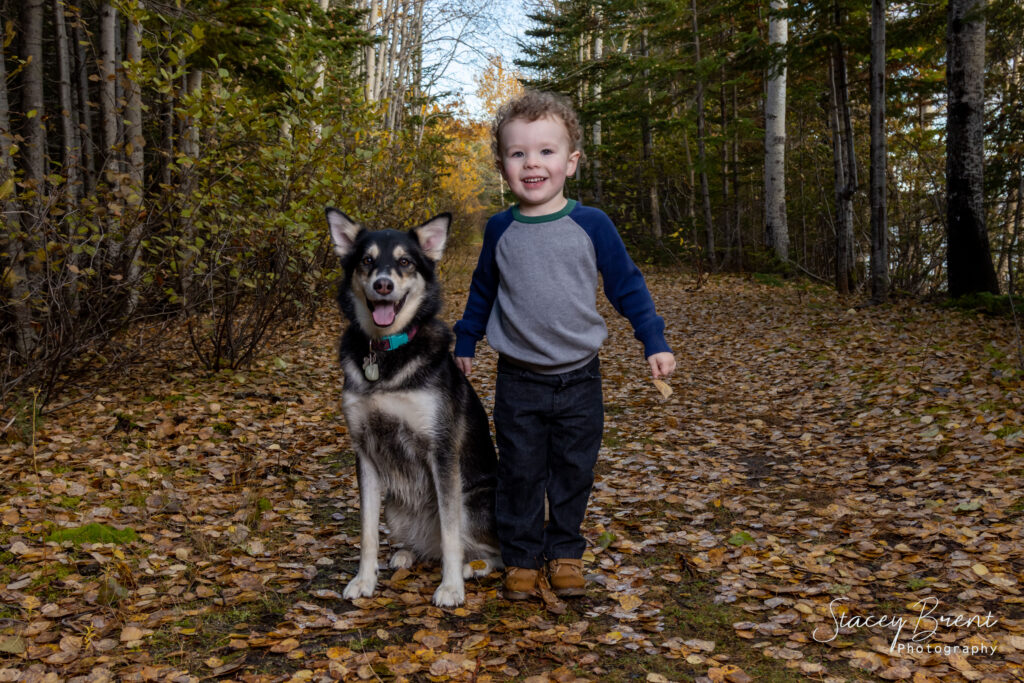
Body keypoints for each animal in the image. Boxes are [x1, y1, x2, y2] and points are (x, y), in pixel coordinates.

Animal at [325, 209, 501, 610]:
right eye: (367, 261)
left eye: (405, 262)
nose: (383, 285)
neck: (387, 351)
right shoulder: (365, 452)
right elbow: (367, 531)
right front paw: (364, 580)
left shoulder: (442, 451)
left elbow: (451, 534)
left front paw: (451, 587)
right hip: (396, 505)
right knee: (426, 546)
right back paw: (407, 554)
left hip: (473, 500)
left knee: (491, 551)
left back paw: (472, 567)